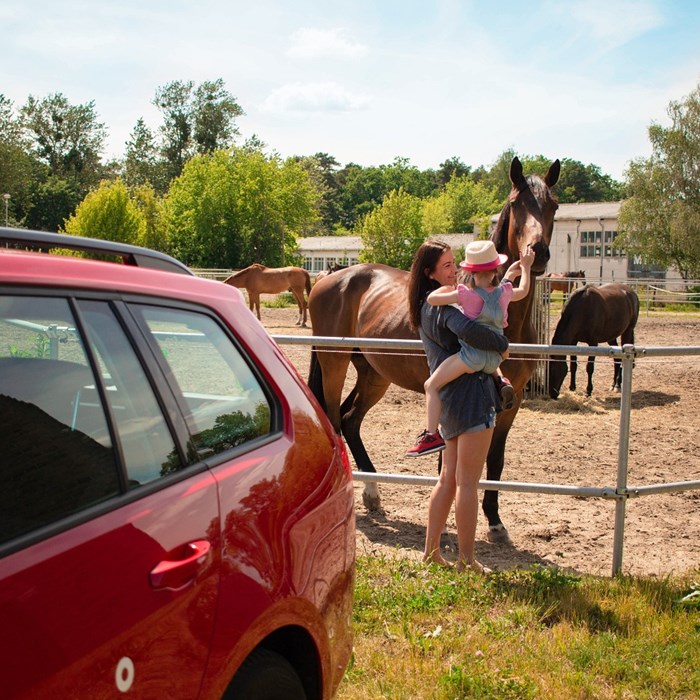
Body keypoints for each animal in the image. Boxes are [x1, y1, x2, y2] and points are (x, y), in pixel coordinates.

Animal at [308, 156, 560, 540]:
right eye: (517, 203)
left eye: (554, 206)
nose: (539, 253)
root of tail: (330, 277)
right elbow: (448, 460)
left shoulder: (512, 399)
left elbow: (496, 458)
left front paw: (495, 521)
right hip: (333, 363)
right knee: (335, 419)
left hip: (374, 374)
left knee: (351, 419)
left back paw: (373, 492)